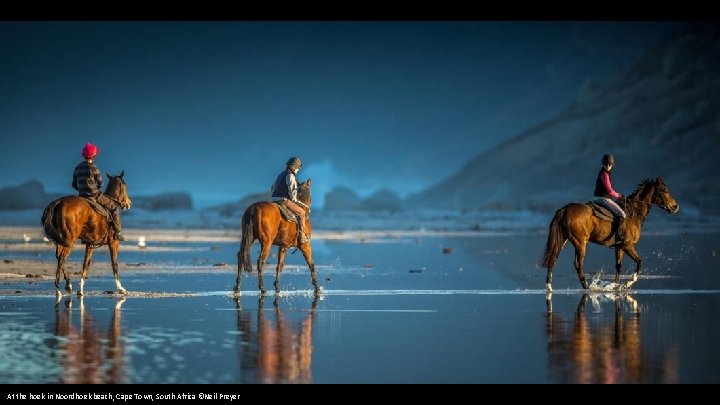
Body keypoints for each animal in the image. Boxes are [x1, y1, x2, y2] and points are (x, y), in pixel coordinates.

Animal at [540, 177, 680, 290]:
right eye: (664, 190)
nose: (675, 207)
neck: (634, 212)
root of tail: (565, 209)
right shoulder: (628, 245)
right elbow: (639, 262)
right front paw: (628, 283)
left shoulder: (619, 247)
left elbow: (618, 267)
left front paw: (616, 286)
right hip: (580, 243)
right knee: (578, 264)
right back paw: (587, 287)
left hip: (563, 240)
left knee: (553, 259)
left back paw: (549, 286)